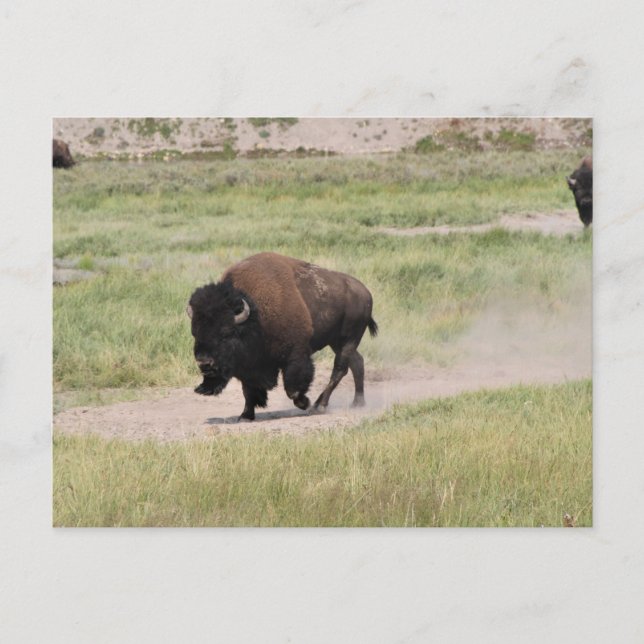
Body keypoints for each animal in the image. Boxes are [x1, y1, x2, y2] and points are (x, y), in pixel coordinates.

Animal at [187, 252, 378, 421]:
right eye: (194, 333)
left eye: (226, 333)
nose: (204, 363)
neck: (256, 316)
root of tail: (366, 292)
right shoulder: (248, 365)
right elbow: (248, 390)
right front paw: (245, 416)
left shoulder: (296, 354)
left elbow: (292, 388)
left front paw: (304, 403)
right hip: (337, 342)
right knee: (357, 363)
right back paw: (357, 403)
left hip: (348, 340)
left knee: (340, 369)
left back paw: (319, 406)